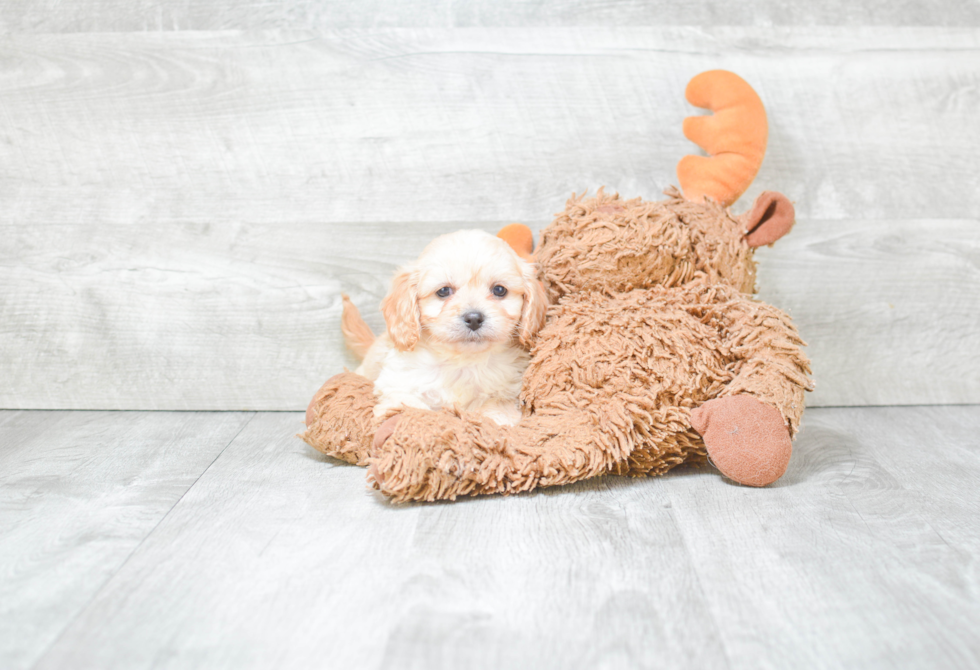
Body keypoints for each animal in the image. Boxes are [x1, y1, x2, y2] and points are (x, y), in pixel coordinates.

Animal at [340, 231, 548, 428]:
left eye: (499, 290)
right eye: (443, 291)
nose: (474, 318)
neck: (463, 362)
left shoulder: (508, 393)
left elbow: (496, 408)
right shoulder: (396, 383)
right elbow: (410, 406)